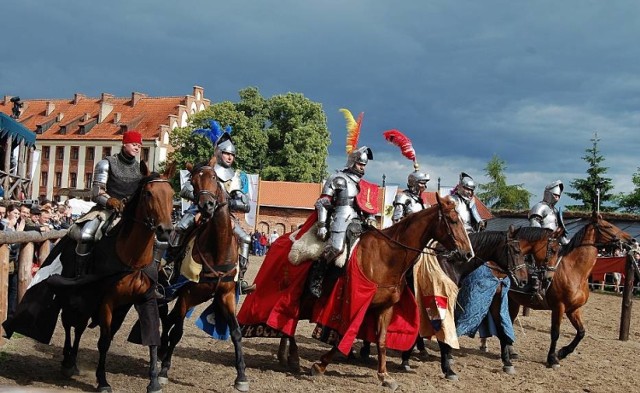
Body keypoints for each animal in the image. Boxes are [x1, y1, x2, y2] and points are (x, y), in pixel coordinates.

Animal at [156, 158, 249, 390]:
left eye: (214, 178)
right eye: (193, 182)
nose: (206, 206)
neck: (217, 248)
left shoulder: (226, 295)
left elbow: (236, 332)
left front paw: (241, 376)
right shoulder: (186, 295)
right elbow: (177, 332)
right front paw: (163, 372)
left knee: (169, 318)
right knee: (166, 317)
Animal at [304, 193, 476, 388]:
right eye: (453, 220)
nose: (468, 254)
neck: (387, 257)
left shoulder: (385, 307)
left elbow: (381, 340)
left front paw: (384, 375)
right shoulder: (359, 303)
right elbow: (346, 333)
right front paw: (320, 365)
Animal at [508, 211, 632, 368]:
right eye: (608, 226)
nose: (632, 240)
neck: (574, 271)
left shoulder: (574, 309)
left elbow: (581, 332)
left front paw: (563, 353)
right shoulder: (558, 307)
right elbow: (555, 332)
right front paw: (552, 358)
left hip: (513, 301)